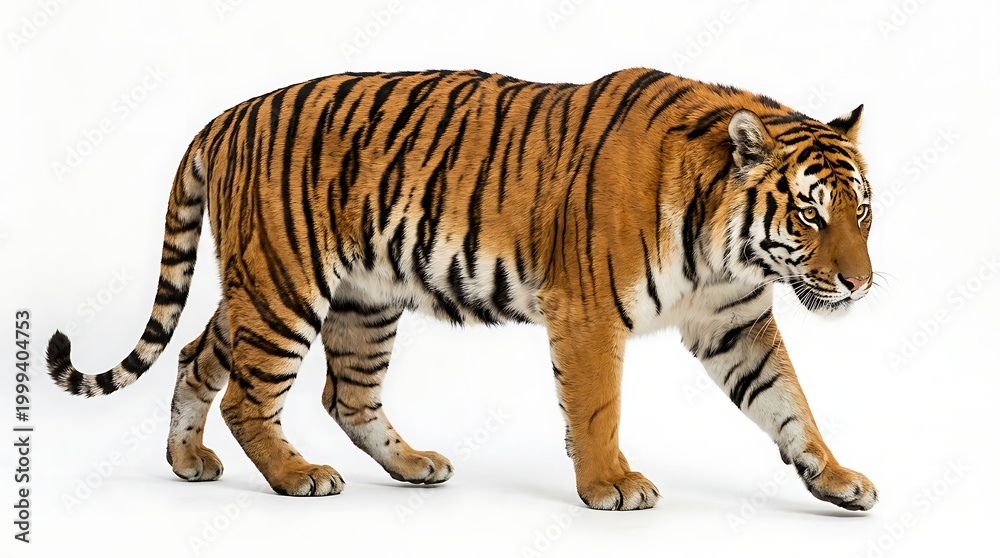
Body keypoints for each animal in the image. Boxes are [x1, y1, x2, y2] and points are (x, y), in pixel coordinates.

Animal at [46, 67, 878, 512]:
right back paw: (298, 476)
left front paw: (837, 480)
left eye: (861, 211)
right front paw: (609, 484)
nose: (860, 284)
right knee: (249, 396)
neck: (727, 251)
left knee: (261, 374)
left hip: (340, 296)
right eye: (810, 213)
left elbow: (790, 404)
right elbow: (598, 407)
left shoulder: (734, 322)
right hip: (285, 286)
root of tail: (224, 117)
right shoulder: (588, 313)